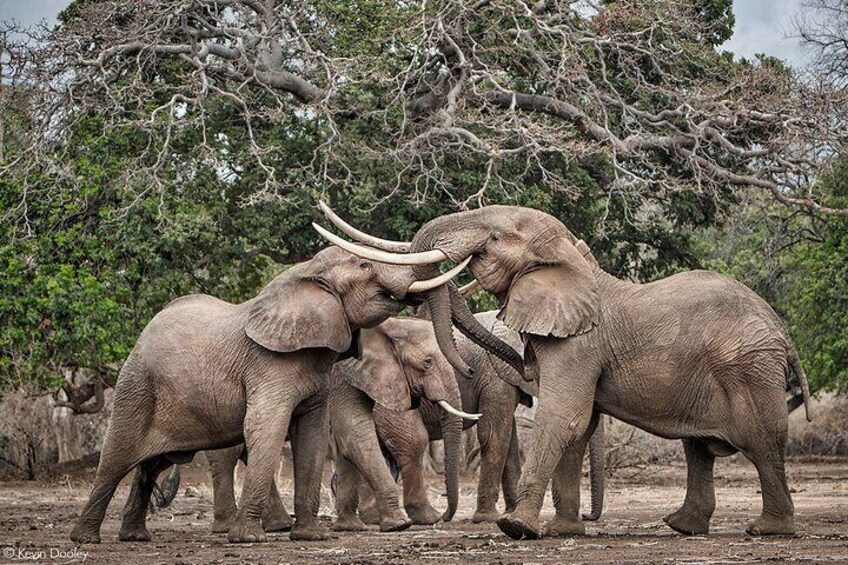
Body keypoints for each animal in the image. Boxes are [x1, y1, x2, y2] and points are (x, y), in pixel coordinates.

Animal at [67, 245, 468, 544]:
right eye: (365, 264)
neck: (303, 274)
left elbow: (312, 436)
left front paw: (311, 537)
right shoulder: (269, 366)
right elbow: (270, 427)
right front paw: (248, 538)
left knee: (154, 464)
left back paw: (135, 537)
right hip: (136, 386)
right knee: (117, 456)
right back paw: (86, 538)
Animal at [318, 202, 816, 536]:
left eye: (494, 238)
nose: (468, 368)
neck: (573, 262)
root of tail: (782, 330)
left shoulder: (579, 344)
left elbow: (564, 416)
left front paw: (516, 528)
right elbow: (579, 425)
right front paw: (561, 530)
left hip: (750, 368)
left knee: (761, 440)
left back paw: (766, 530)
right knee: (699, 449)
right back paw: (682, 526)